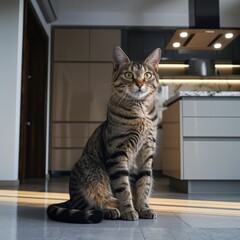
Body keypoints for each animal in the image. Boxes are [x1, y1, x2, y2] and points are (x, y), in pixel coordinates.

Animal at [46, 46, 161, 223]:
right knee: (90, 205)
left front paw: (143, 208)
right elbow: (123, 188)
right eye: (129, 75)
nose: (140, 83)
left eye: (147, 75)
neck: (140, 111)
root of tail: (70, 198)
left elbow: (144, 185)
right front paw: (129, 210)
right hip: (92, 167)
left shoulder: (146, 155)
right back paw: (110, 210)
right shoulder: (118, 154)